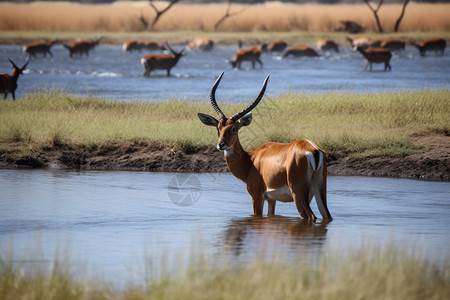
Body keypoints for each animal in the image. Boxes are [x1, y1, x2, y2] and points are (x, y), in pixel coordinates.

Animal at [199, 73, 332, 220]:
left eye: (234, 128)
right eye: (218, 128)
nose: (221, 144)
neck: (251, 161)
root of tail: (313, 150)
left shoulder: (257, 197)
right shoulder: (271, 199)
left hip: (298, 194)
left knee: (311, 217)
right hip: (319, 190)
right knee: (327, 215)